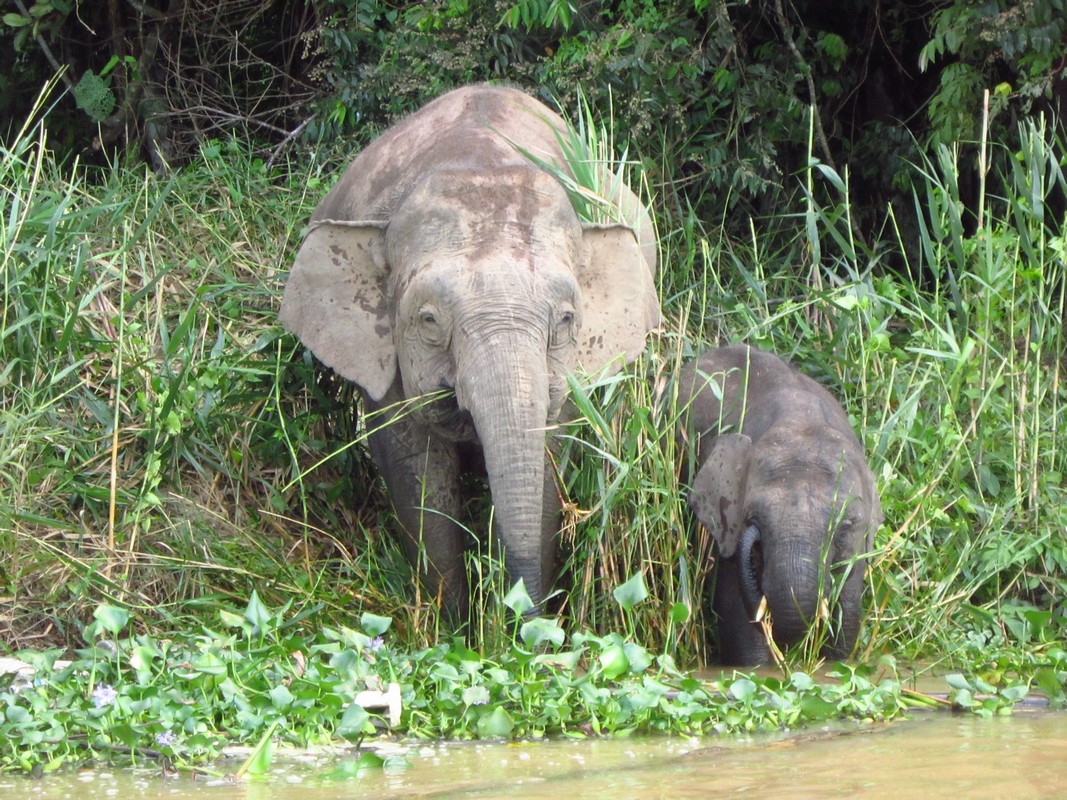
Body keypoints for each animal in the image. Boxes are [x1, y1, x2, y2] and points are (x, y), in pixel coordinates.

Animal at [279, 83, 653, 618]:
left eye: (565, 321)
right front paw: (451, 626)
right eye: (429, 322)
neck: (481, 159)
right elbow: (417, 471)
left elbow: (546, 466)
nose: (520, 615)